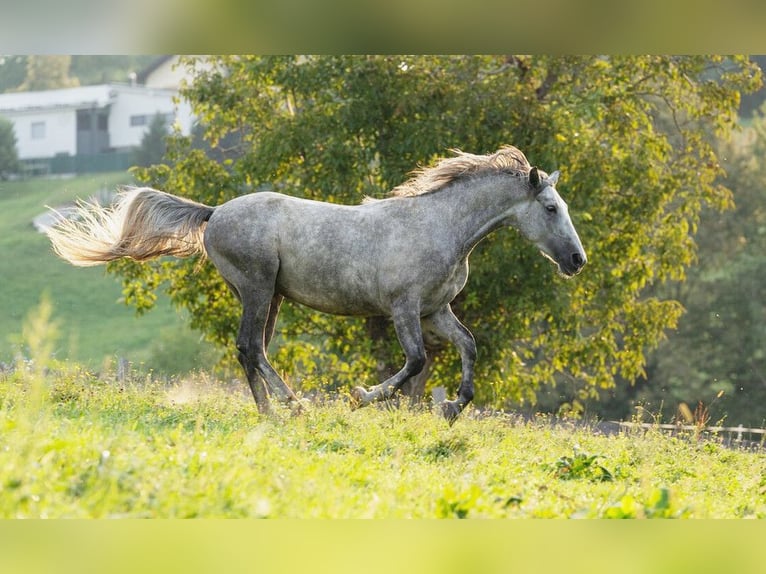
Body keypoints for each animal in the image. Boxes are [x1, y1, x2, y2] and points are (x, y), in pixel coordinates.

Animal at [48, 144, 588, 424]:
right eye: (550, 208)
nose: (577, 260)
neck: (441, 227)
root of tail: (215, 212)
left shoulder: (436, 310)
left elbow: (469, 346)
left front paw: (454, 407)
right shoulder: (404, 308)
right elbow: (415, 362)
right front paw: (360, 397)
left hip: (270, 297)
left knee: (249, 350)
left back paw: (270, 413)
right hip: (258, 288)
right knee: (251, 347)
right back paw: (295, 406)